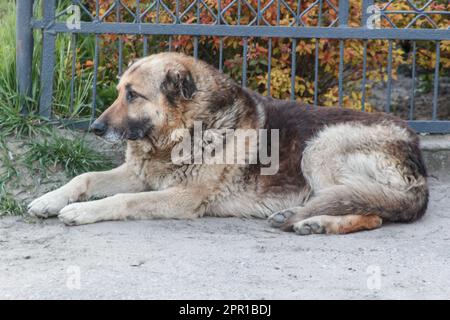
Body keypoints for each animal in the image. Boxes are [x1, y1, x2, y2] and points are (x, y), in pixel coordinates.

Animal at [28, 52, 428, 235]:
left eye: (133, 95)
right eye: (117, 93)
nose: (95, 128)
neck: (184, 131)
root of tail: (415, 149)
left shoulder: (181, 197)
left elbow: (122, 200)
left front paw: (81, 212)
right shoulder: (138, 174)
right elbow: (84, 178)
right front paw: (48, 199)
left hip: (320, 148)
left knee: (371, 211)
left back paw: (314, 221)